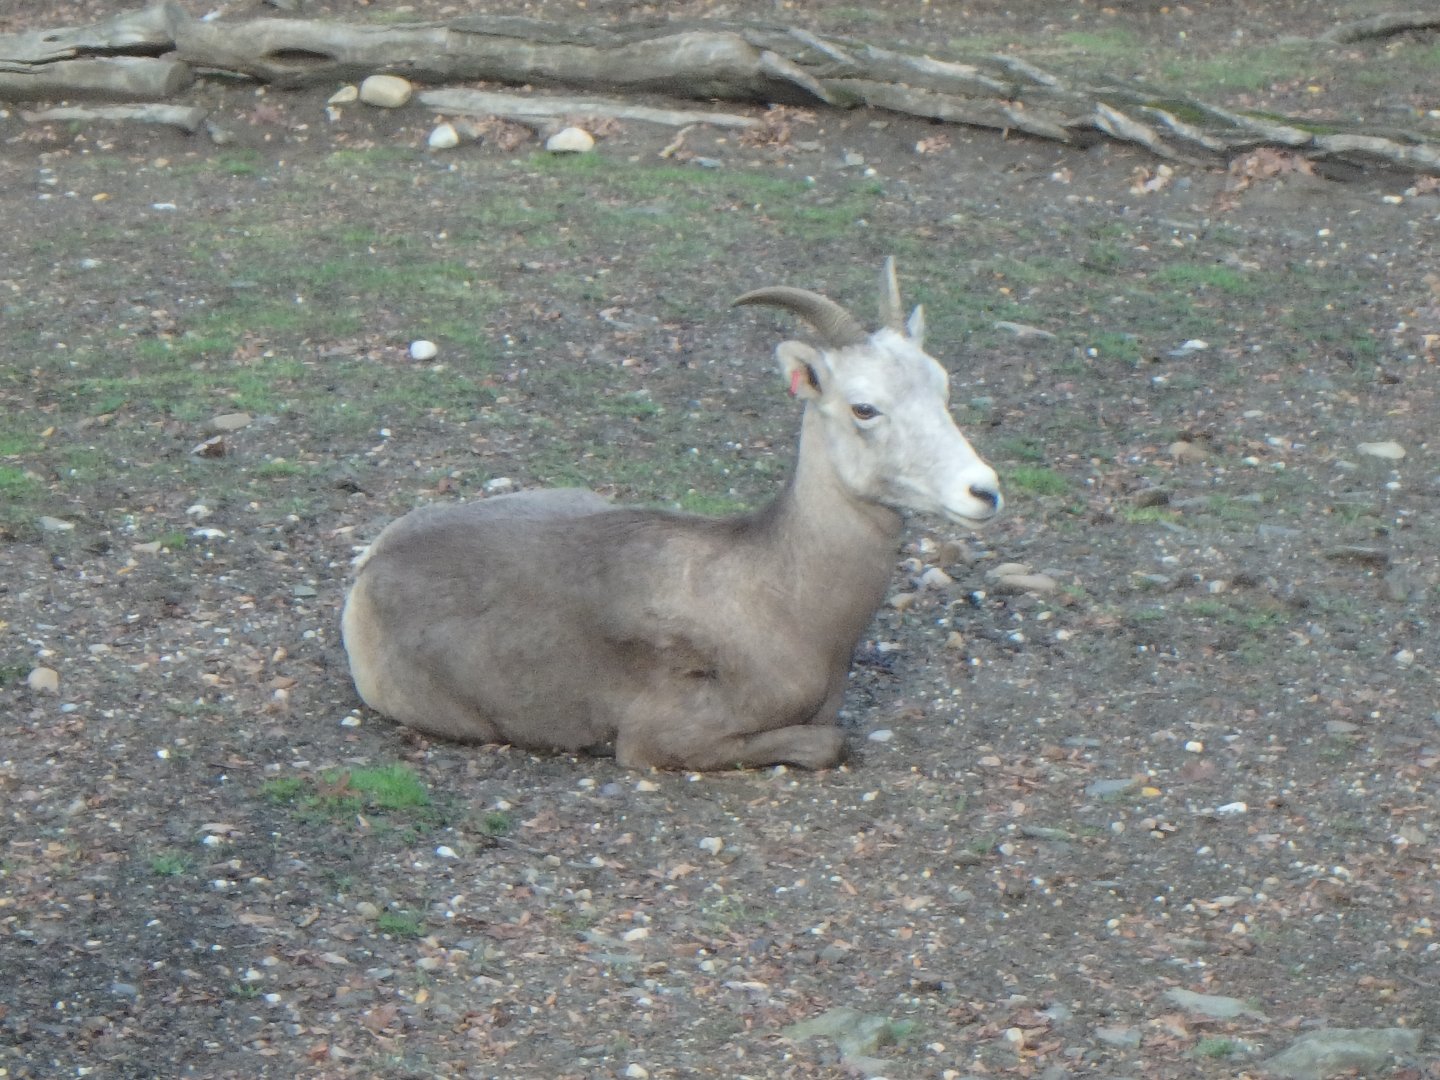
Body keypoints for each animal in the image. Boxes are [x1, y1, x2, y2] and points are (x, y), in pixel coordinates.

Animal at [341, 258, 1002, 771]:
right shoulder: (659, 740)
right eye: (864, 407)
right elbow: (829, 743)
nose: (983, 491)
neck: (782, 601)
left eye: (941, 385)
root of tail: (371, 566)